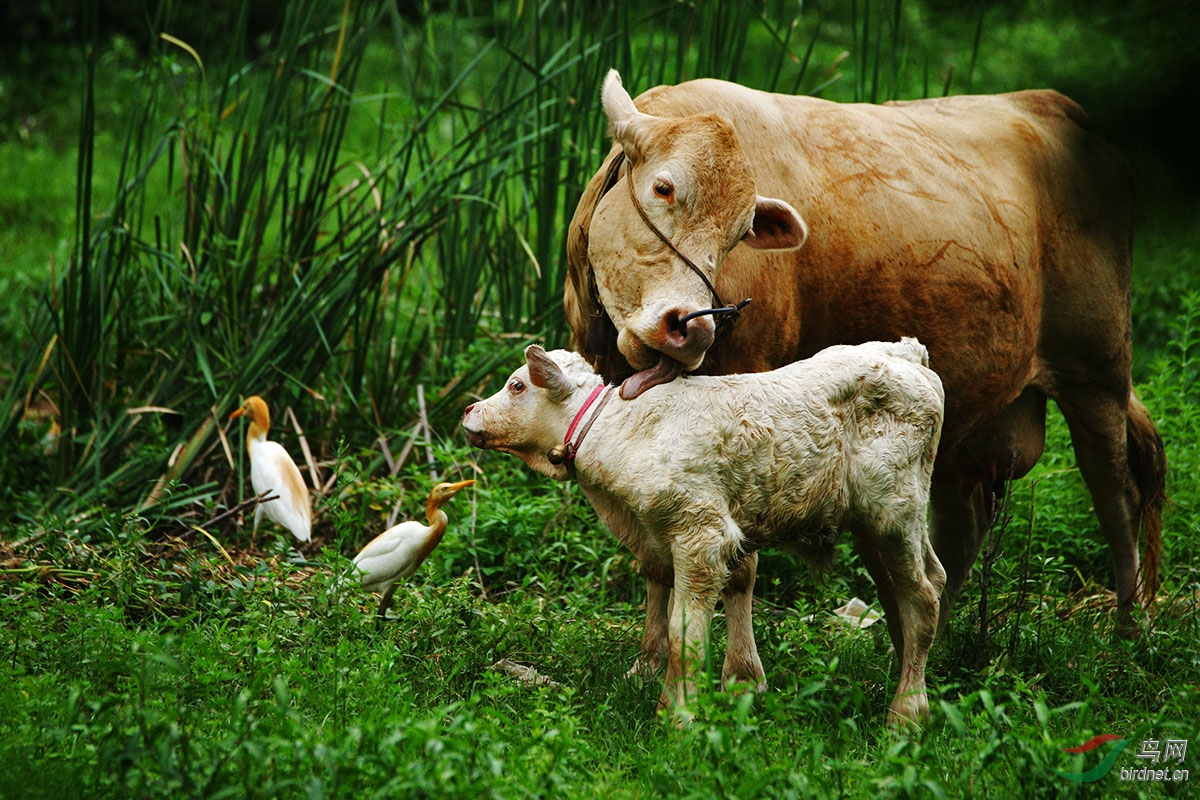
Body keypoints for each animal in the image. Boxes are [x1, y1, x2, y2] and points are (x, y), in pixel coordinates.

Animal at [465, 338, 945, 724]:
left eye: (517, 386)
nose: (469, 409)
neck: (615, 431)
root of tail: (905, 353)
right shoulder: (661, 536)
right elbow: (674, 617)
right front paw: (679, 700)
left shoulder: (701, 534)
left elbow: (686, 638)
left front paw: (680, 719)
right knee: (931, 580)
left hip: (893, 509)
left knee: (921, 598)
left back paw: (907, 715)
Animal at [566, 70, 1166, 695]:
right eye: (663, 188)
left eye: (740, 233)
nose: (691, 328)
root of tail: (1052, 105)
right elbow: (653, 558)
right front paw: (647, 662)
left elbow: (741, 566)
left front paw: (741, 675)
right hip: (967, 420)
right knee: (959, 529)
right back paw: (928, 640)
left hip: (1098, 370)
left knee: (1117, 497)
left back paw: (1129, 633)